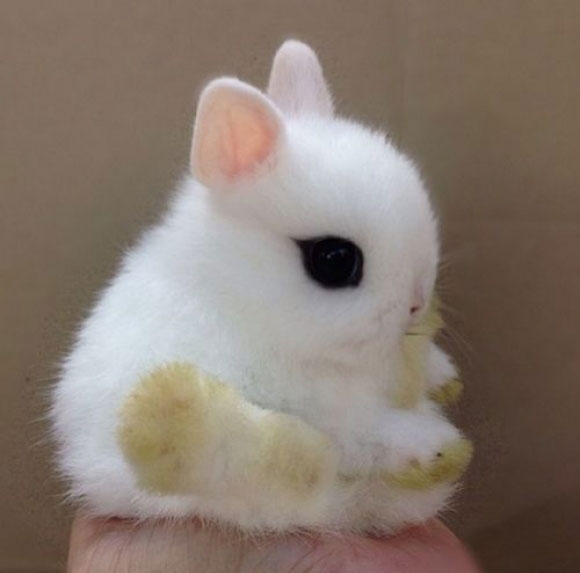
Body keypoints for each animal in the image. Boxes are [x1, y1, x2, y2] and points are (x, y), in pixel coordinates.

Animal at [52, 39, 472, 532]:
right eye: (334, 260)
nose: (416, 304)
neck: (240, 299)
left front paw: (444, 378)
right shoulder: (312, 405)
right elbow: (358, 432)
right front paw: (434, 443)